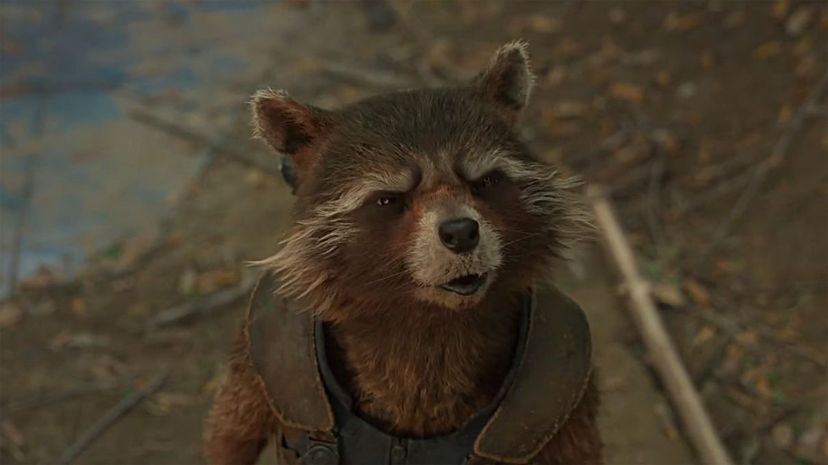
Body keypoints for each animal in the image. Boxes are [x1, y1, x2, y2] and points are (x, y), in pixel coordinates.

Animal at [204, 41, 602, 465]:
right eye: (390, 199)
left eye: (485, 183)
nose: (461, 232)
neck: (427, 315)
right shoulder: (261, 351)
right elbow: (231, 429)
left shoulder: (566, 388)